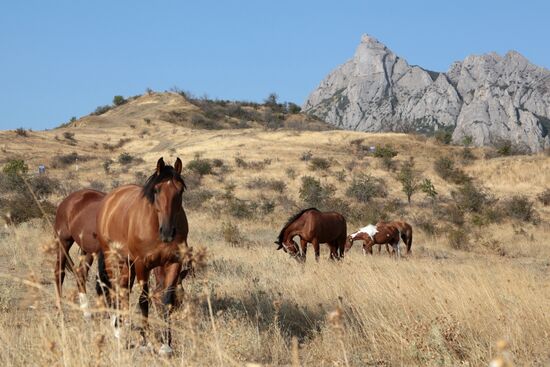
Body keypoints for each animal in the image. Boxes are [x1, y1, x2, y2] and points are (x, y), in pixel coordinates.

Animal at [53, 190, 106, 320]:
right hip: (64, 242)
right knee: (59, 272)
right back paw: (60, 311)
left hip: (86, 251)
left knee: (80, 274)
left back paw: (86, 312)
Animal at [96, 157, 189, 356]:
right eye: (156, 189)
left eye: (180, 190)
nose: (168, 232)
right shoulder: (142, 265)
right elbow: (144, 300)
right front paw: (145, 342)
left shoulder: (173, 264)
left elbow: (166, 300)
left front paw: (166, 344)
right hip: (112, 260)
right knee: (116, 291)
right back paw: (118, 331)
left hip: (127, 265)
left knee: (124, 291)